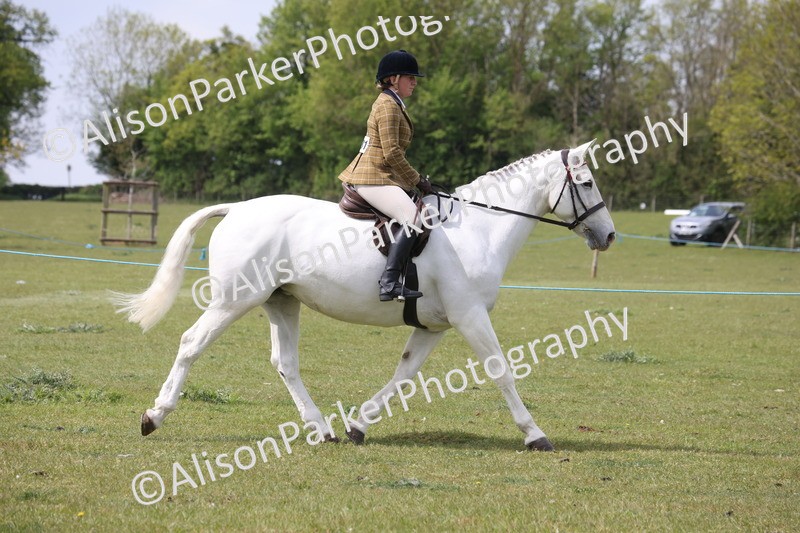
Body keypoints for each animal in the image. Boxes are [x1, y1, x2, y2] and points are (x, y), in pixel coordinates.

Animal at [113, 140, 616, 451]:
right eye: (587, 183)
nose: (608, 236)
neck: (477, 228)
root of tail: (236, 208)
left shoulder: (435, 325)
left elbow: (404, 375)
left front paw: (358, 424)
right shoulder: (470, 315)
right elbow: (501, 371)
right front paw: (535, 435)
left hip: (281, 301)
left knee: (285, 363)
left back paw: (323, 429)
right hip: (234, 300)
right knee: (191, 344)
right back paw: (154, 415)